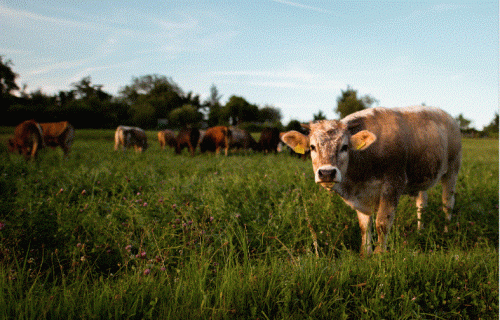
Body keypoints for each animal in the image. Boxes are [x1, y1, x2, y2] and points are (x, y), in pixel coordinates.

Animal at [280, 106, 462, 256]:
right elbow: (364, 226)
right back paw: (420, 231)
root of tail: (447, 115)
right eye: (312, 147)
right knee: (422, 205)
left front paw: (378, 255)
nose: (326, 173)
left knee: (448, 203)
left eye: (345, 147)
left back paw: (446, 231)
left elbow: (382, 223)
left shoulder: (393, 184)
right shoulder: (361, 195)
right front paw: (365, 253)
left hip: (452, 170)